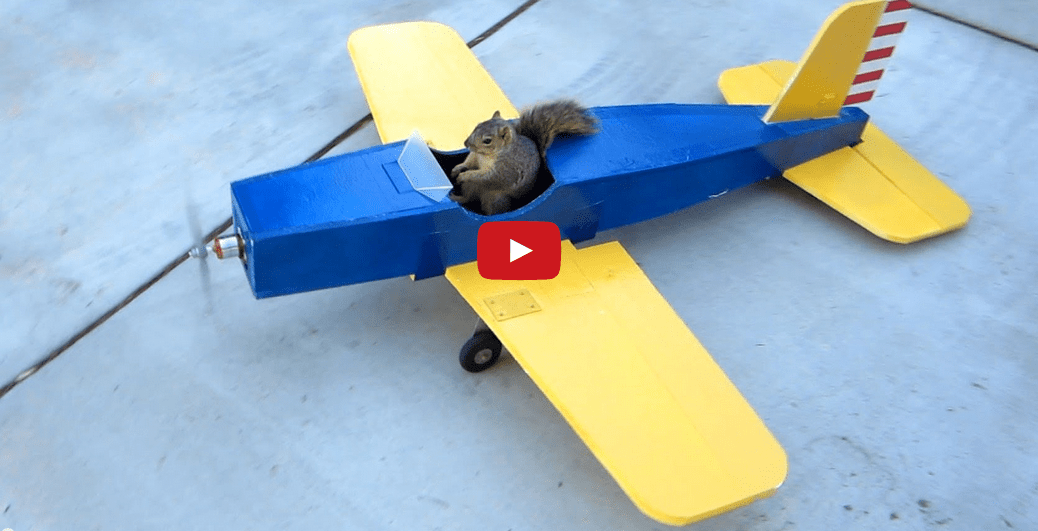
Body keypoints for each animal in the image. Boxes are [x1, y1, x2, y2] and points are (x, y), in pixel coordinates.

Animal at [448, 99, 598, 216]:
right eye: (478, 125)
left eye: (487, 141)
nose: (466, 143)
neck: (486, 156)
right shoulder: (475, 156)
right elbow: (469, 162)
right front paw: (458, 168)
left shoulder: (504, 170)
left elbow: (486, 176)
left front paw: (464, 175)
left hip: (494, 197)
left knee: (473, 200)